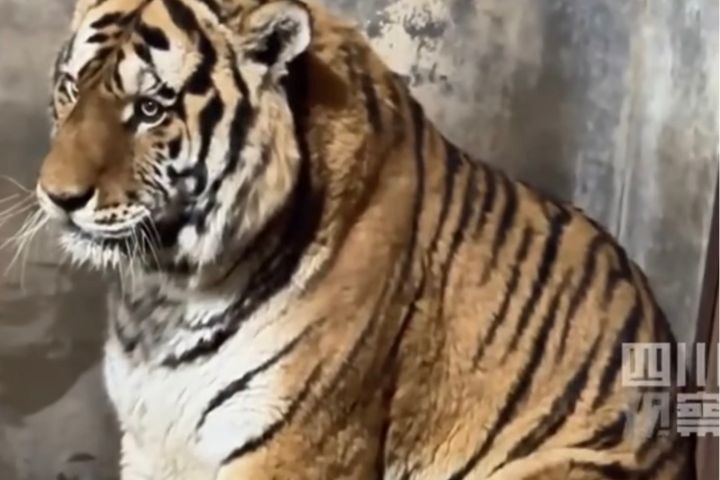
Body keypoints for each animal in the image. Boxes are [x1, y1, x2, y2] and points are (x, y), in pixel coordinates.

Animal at [32, 0, 696, 478]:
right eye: (70, 88)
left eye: (150, 109)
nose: (57, 196)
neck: (165, 290)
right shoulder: (150, 439)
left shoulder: (296, 445)